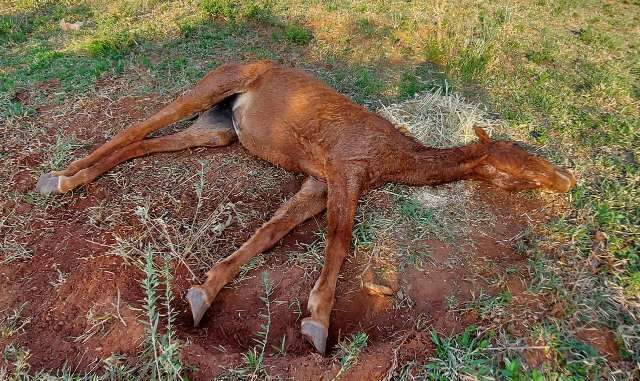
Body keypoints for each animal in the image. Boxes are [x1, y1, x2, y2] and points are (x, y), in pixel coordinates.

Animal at [35, 60, 576, 354]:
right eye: (522, 169)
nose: (567, 181)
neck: (393, 158)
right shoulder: (342, 171)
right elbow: (340, 241)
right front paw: (317, 322)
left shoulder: (317, 182)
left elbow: (269, 232)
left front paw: (202, 293)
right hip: (210, 88)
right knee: (140, 125)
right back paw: (60, 175)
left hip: (218, 129)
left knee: (146, 143)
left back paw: (69, 177)